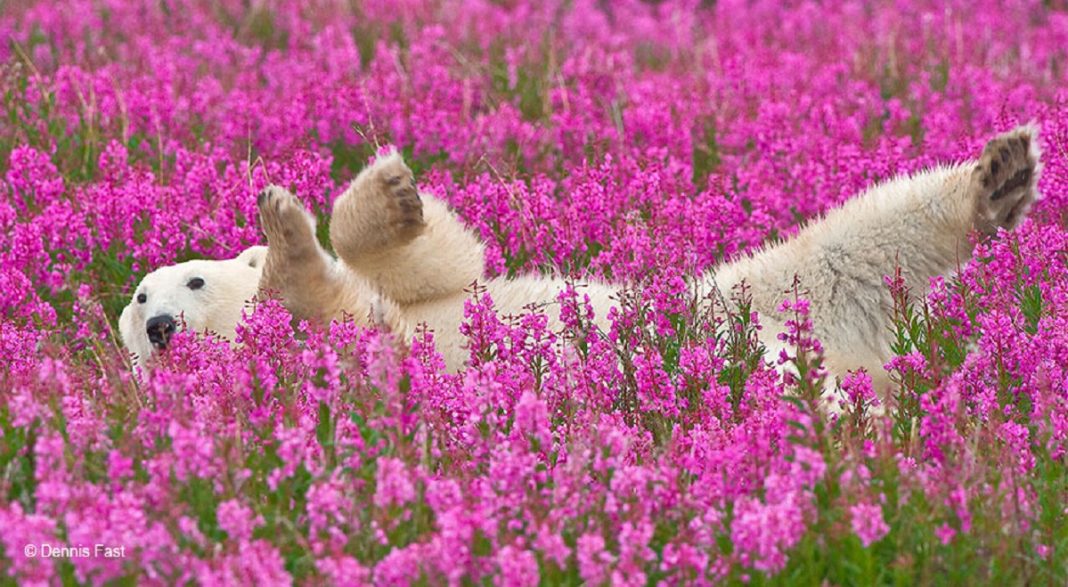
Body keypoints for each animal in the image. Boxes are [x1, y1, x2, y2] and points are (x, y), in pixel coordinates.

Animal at [121, 125, 1038, 392]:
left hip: (748, 293)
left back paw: (1000, 175)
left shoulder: (414, 300)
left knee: (857, 237)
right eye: (137, 301)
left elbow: (444, 264)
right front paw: (287, 239)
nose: (161, 324)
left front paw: (374, 194)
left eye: (187, 278)